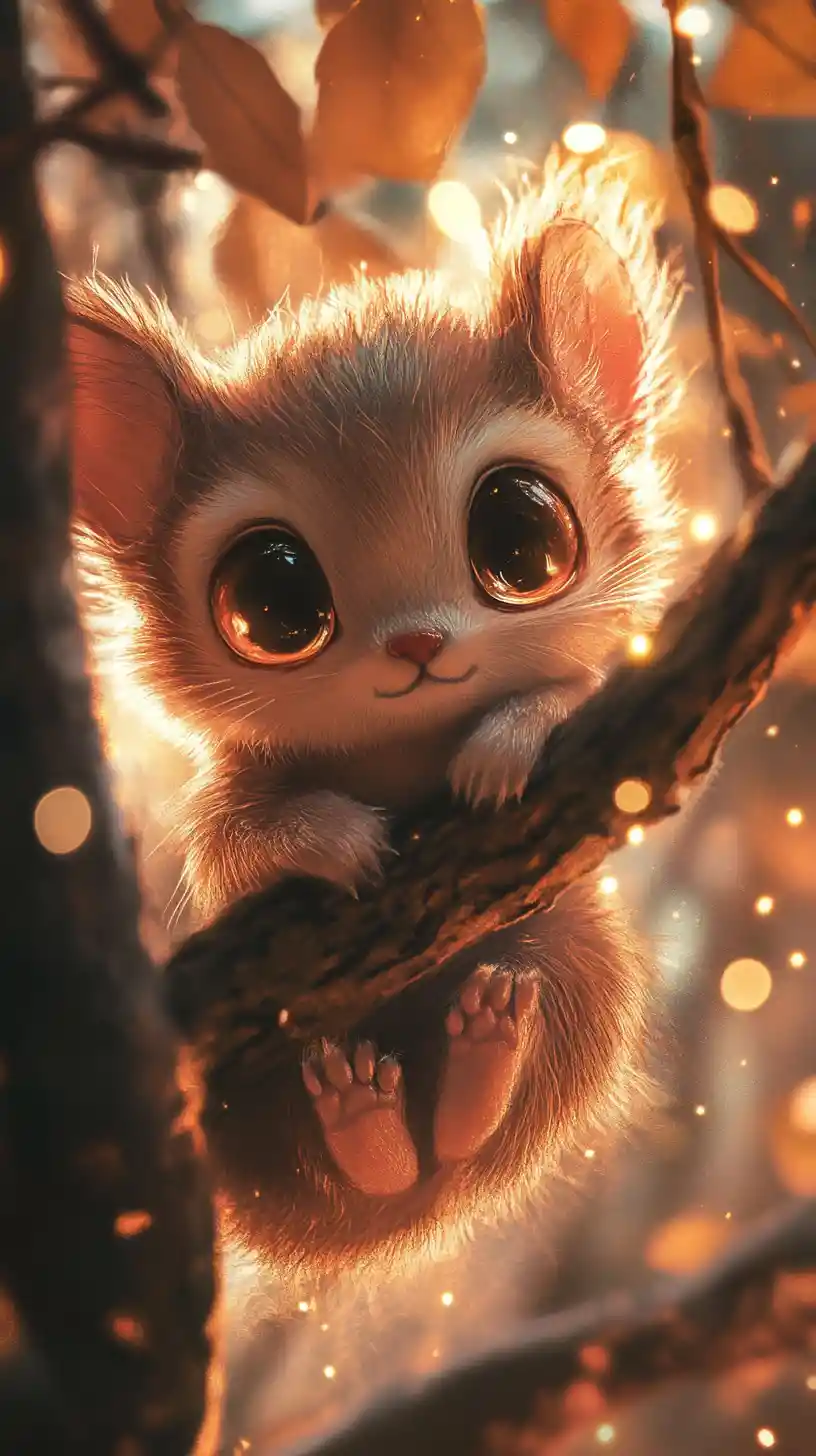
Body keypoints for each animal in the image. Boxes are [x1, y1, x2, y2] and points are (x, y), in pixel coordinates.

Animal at [69, 159, 684, 1282]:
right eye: (274, 602)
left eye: (520, 538)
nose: (417, 647)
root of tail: (408, 1219)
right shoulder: (236, 798)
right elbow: (236, 844)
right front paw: (338, 841)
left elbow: (562, 695)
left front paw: (501, 747)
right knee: (362, 1153)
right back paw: (367, 1122)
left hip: (580, 957)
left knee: (487, 1105)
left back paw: (478, 1068)